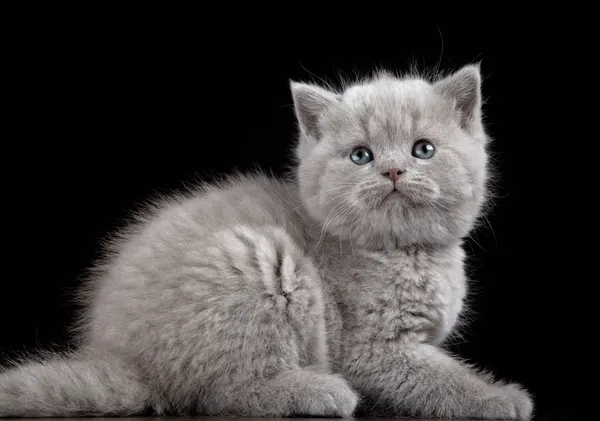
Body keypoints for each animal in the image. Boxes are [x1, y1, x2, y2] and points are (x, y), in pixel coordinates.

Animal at [0, 64, 536, 418]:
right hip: (261, 264)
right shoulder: (372, 350)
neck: (404, 252)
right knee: (220, 393)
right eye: (361, 156)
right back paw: (317, 392)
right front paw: (499, 398)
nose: (392, 170)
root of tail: (122, 358)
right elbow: (438, 377)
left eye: (423, 149)